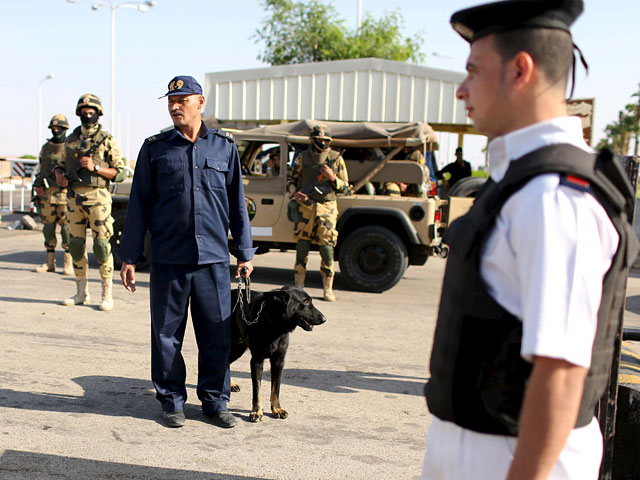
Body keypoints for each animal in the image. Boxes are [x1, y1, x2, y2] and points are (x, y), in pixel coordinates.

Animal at [229, 285, 326, 422]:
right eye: (306, 302)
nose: (324, 319)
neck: (274, 325)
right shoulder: (257, 361)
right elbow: (257, 390)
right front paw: (257, 411)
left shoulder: (278, 362)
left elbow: (276, 389)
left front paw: (277, 409)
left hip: (240, 347)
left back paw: (231, 384)